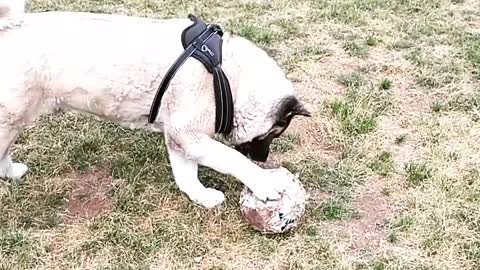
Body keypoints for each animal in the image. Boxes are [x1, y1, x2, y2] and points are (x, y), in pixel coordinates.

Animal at [0, 0, 312, 208]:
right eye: (273, 133)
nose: (263, 159)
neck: (229, 77)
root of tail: (7, 29)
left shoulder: (180, 138)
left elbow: (187, 175)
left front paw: (201, 196)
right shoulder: (188, 134)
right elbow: (232, 159)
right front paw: (264, 181)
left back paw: (10, 174)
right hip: (11, 117)